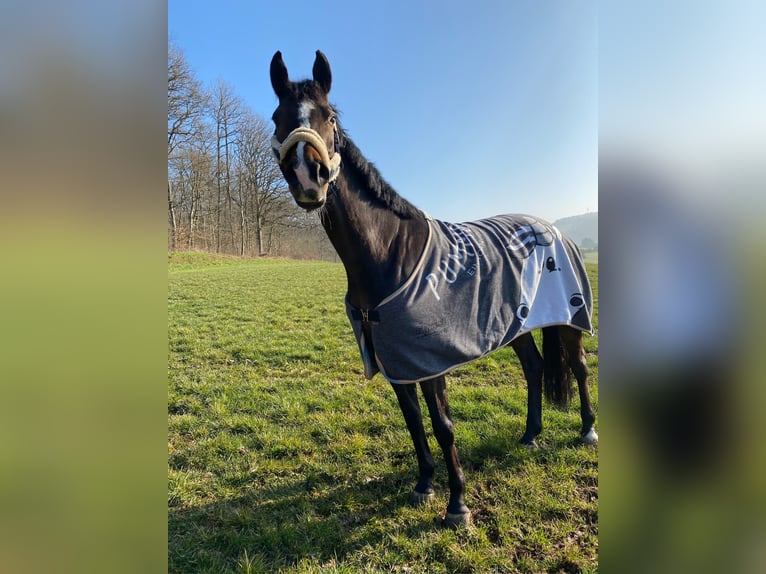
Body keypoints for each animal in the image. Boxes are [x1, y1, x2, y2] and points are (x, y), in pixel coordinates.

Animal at [268, 50, 597, 527]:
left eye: (329, 117)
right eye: (278, 117)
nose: (308, 177)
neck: (388, 255)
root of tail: (552, 228)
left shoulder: (429, 362)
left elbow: (443, 427)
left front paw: (457, 504)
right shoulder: (396, 361)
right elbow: (413, 423)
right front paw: (424, 485)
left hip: (571, 318)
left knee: (579, 367)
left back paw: (588, 430)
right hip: (513, 324)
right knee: (535, 368)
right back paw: (530, 435)